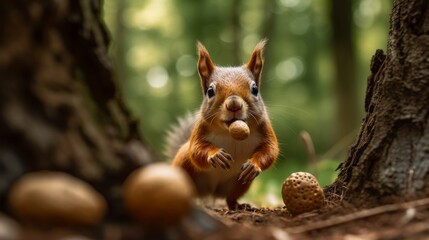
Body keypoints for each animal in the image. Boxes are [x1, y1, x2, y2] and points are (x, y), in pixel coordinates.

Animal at [166, 39, 280, 210]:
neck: (229, 132)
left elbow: (270, 150)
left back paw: (238, 205)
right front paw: (215, 154)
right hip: (183, 164)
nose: (234, 105)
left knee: (230, 198)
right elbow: (196, 149)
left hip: (240, 183)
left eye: (254, 89)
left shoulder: (265, 130)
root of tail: (211, 192)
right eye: (210, 91)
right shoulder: (200, 130)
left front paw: (254, 165)